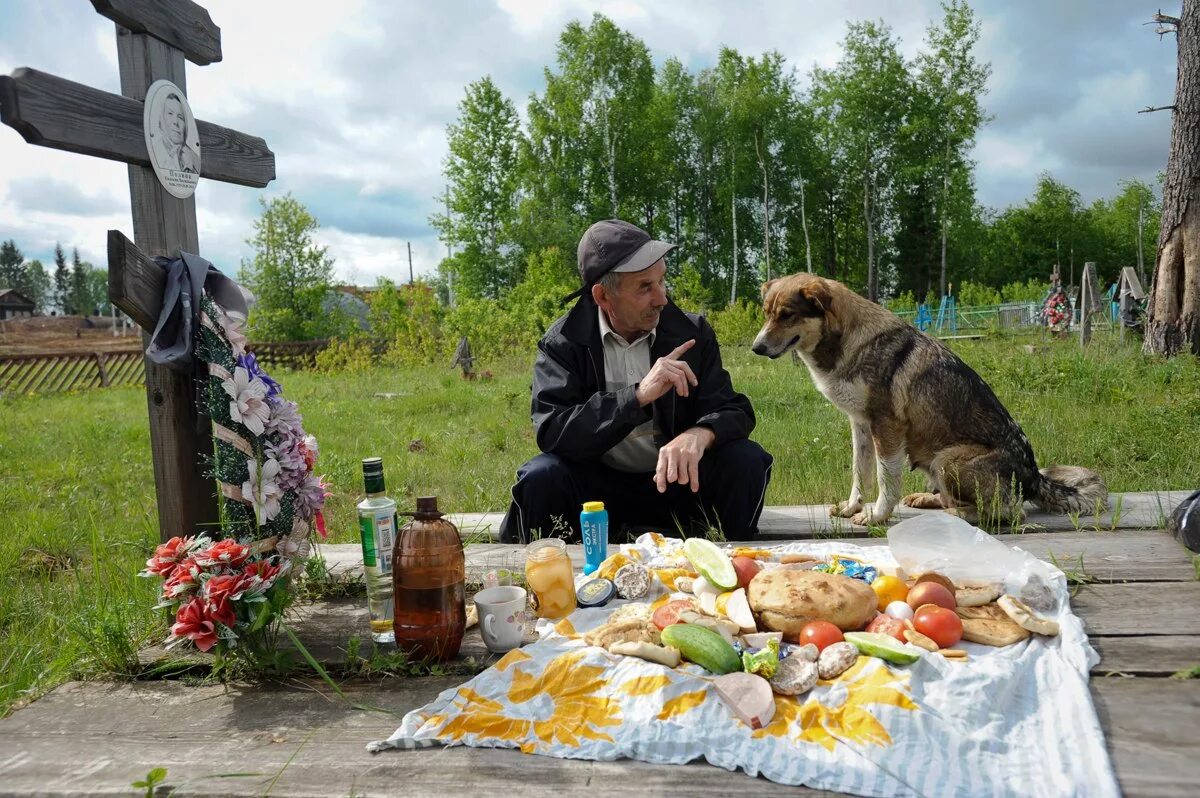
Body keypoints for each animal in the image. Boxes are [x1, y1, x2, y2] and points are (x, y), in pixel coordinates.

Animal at [748, 271, 1104, 525]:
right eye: (766, 314)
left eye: (787, 315)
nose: (756, 347)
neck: (847, 342)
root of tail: (1033, 474)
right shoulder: (860, 425)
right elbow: (860, 475)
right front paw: (851, 508)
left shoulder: (886, 427)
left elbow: (886, 479)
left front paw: (877, 516)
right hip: (935, 464)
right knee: (960, 499)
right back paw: (928, 499)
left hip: (947, 462)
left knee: (1009, 512)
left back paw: (958, 515)